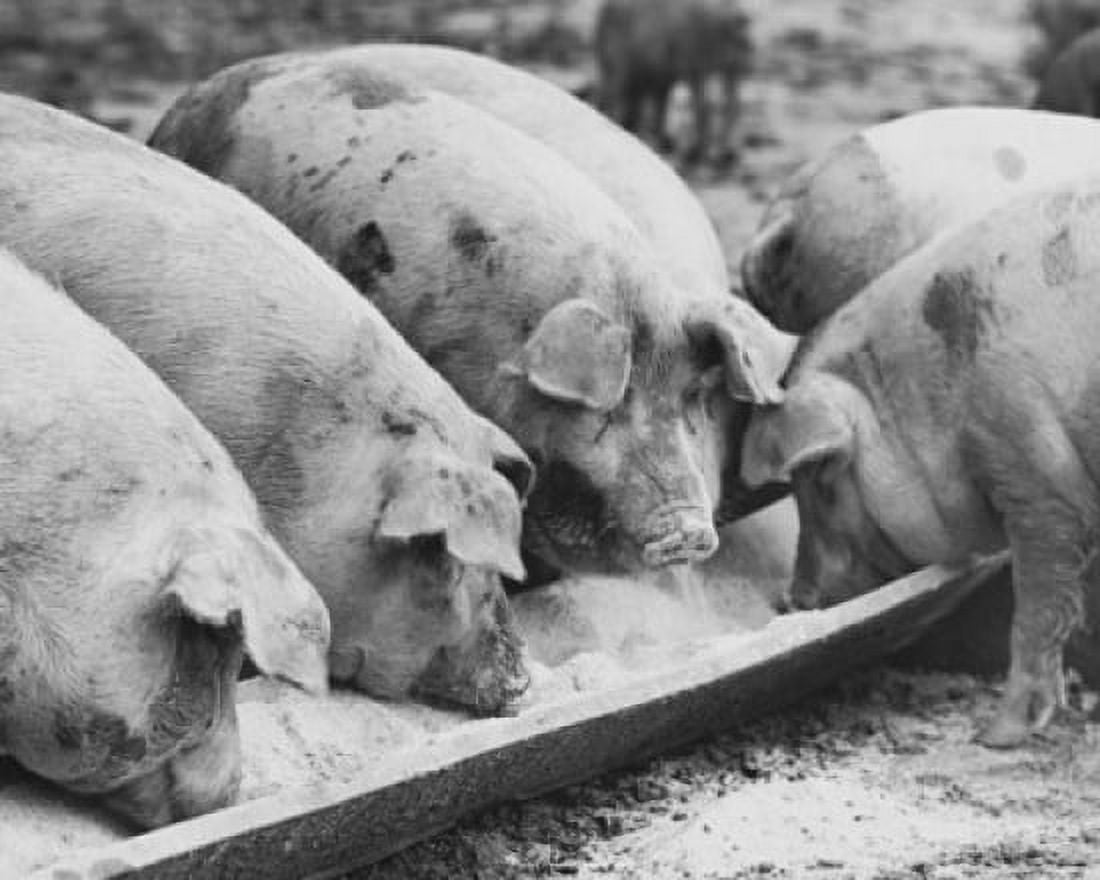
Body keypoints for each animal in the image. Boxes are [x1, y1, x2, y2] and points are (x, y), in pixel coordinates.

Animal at [594, 0, 753, 165]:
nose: (743, 19)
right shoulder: (691, 62)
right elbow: (701, 106)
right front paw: (698, 152)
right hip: (622, 68)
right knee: (615, 94)